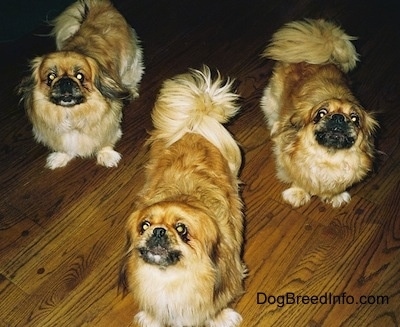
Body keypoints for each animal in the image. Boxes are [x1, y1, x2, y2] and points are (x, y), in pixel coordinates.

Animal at [19, 0, 144, 169]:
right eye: (51, 77)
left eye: (80, 76)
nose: (65, 81)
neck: (71, 114)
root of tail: (98, 5)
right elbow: (64, 148)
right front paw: (60, 157)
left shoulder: (109, 124)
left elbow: (105, 141)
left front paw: (107, 156)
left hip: (130, 63)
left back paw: (131, 90)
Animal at [119, 66, 245, 327]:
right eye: (145, 225)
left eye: (181, 229)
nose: (158, 231)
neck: (170, 279)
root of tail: (193, 129)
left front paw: (221, 317)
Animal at [260, 19, 380, 208]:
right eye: (321, 114)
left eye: (355, 119)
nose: (338, 118)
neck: (328, 159)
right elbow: (297, 177)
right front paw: (298, 192)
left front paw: (336, 196)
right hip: (271, 101)